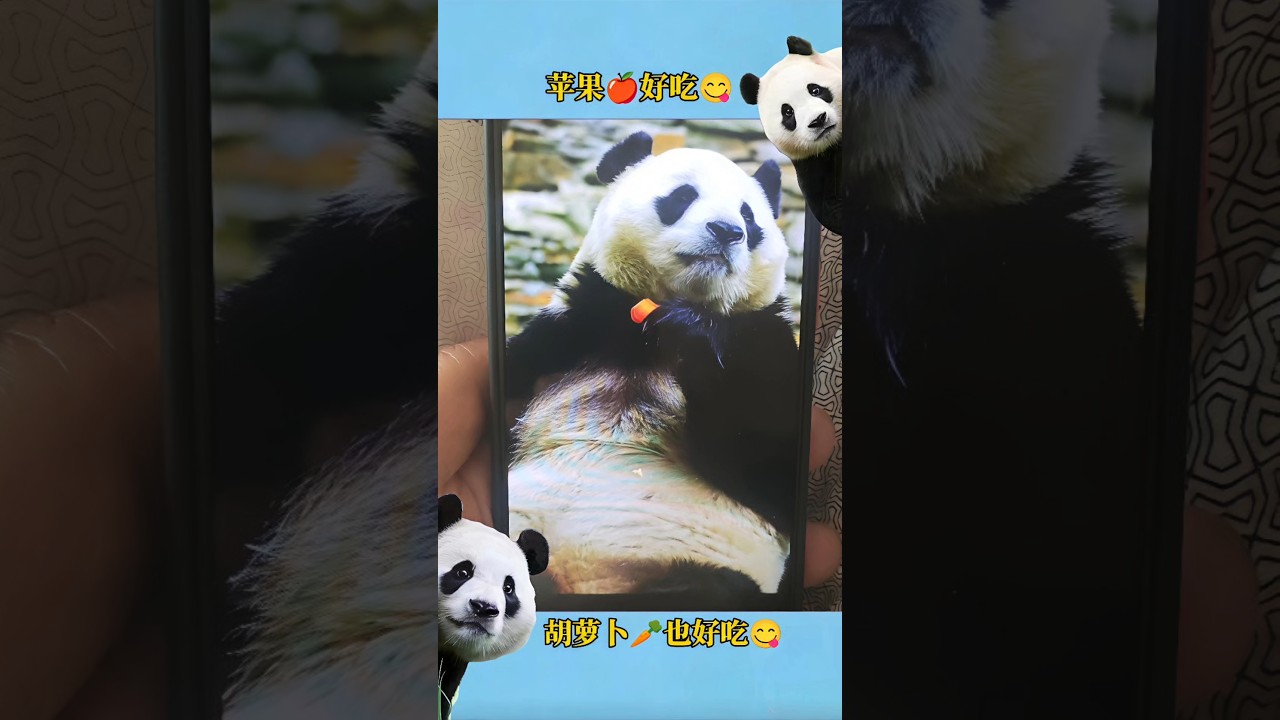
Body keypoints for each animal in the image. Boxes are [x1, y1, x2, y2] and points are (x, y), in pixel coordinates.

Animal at [502, 132, 803, 600]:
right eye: (683, 196)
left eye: (748, 215)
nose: (727, 231)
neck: (643, 339)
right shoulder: (566, 337)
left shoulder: (765, 339)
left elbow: (772, 465)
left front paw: (692, 332)